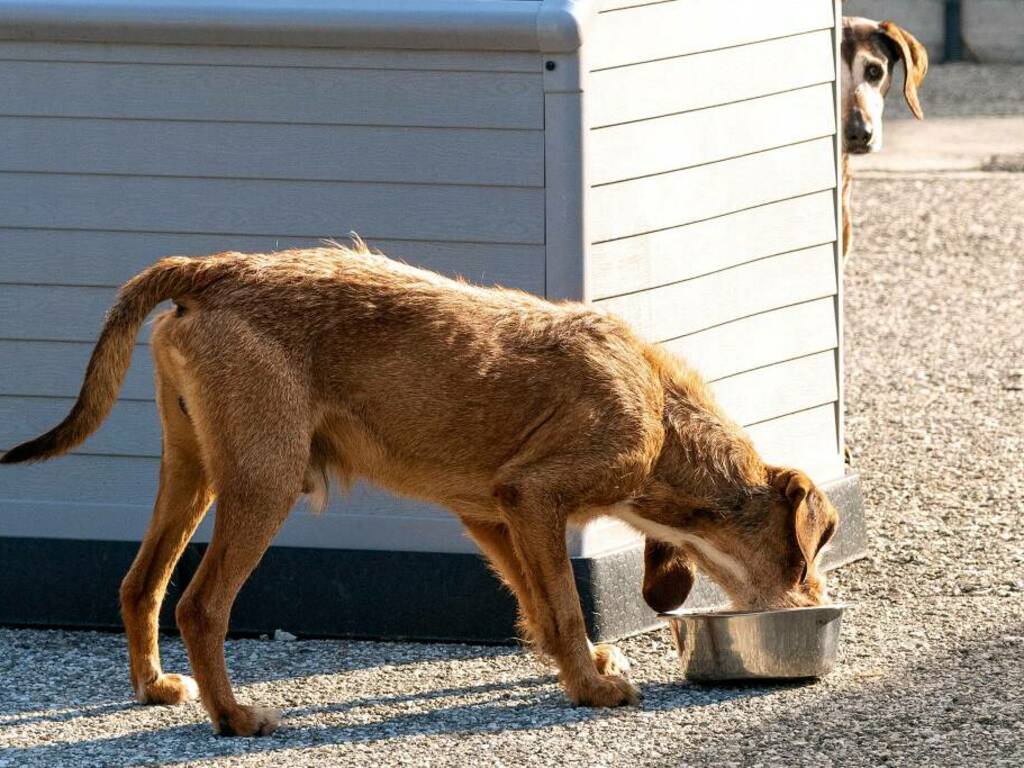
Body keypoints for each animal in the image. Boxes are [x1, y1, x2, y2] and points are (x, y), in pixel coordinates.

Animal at [2, 246, 839, 741]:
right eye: (807, 554)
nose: (814, 604)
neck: (661, 413)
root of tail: (213, 268)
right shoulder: (535, 497)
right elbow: (566, 606)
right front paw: (592, 688)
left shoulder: (494, 513)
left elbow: (540, 604)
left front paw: (582, 669)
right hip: (264, 480)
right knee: (200, 606)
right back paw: (237, 717)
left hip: (194, 472)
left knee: (140, 583)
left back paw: (152, 687)